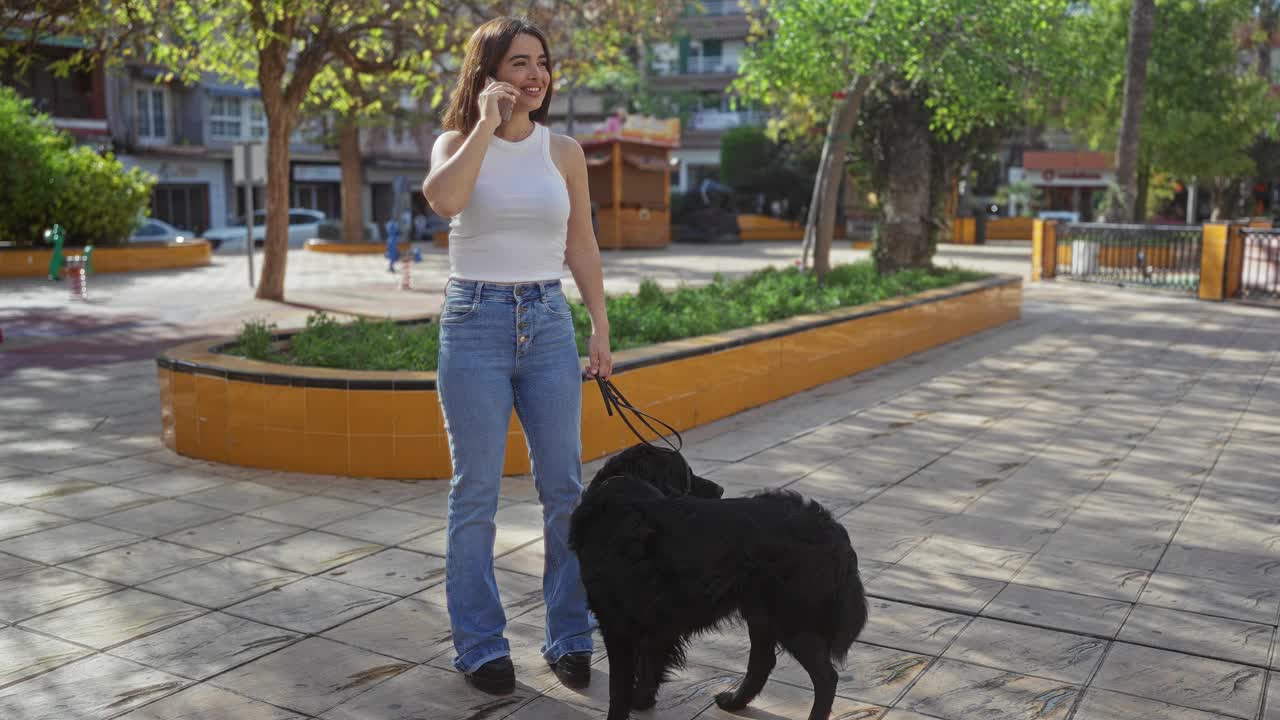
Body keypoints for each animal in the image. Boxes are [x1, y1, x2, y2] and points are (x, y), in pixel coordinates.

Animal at [570, 443, 870, 717]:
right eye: (687, 474)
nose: (719, 491)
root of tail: (832, 527)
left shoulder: (617, 624)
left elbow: (618, 689)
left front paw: (630, 705)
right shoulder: (653, 623)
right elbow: (647, 668)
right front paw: (642, 701)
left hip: (792, 619)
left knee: (826, 678)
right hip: (760, 611)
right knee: (763, 661)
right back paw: (735, 702)